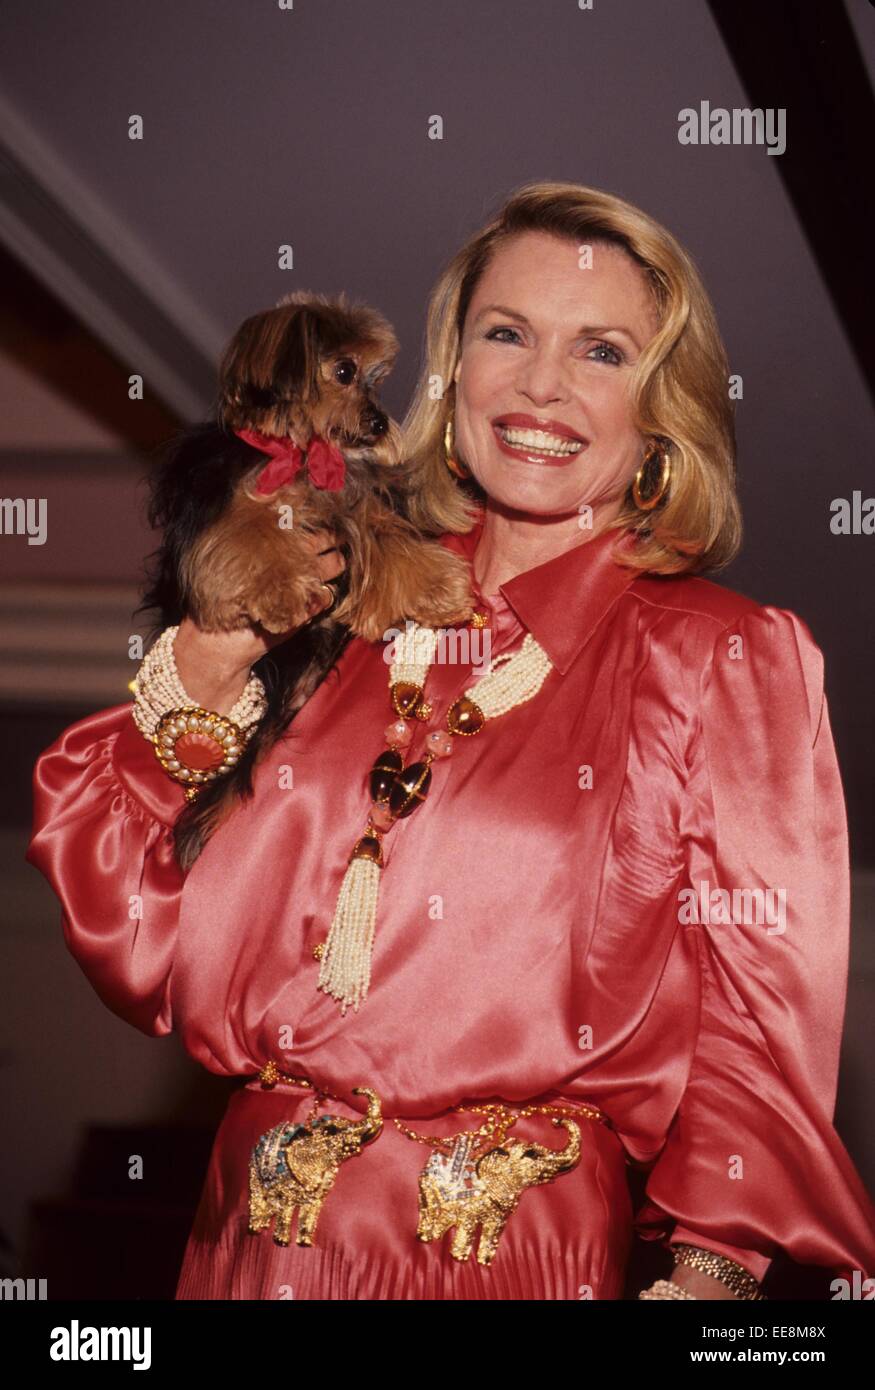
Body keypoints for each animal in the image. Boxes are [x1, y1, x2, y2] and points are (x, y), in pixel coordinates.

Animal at [140, 286, 472, 861]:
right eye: (344, 371)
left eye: (375, 379)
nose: (380, 423)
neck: (296, 450)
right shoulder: (227, 513)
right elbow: (253, 537)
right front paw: (283, 596)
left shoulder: (348, 507)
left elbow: (387, 538)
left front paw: (440, 587)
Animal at [247, 1084, 381, 1251]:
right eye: (331, 1131)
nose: (354, 1090)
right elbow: (287, 1206)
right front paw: (282, 1242)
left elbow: (312, 1207)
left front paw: (305, 1243)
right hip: (254, 1170)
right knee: (258, 1196)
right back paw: (255, 1228)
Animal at [414, 1117, 581, 1273]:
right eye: (531, 1154)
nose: (556, 1121)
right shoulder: (471, 1207)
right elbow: (468, 1224)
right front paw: (459, 1257)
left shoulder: (497, 1214)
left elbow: (492, 1230)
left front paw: (484, 1261)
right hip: (427, 1184)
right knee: (429, 1209)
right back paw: (425, 1237)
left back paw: (436, 1236)